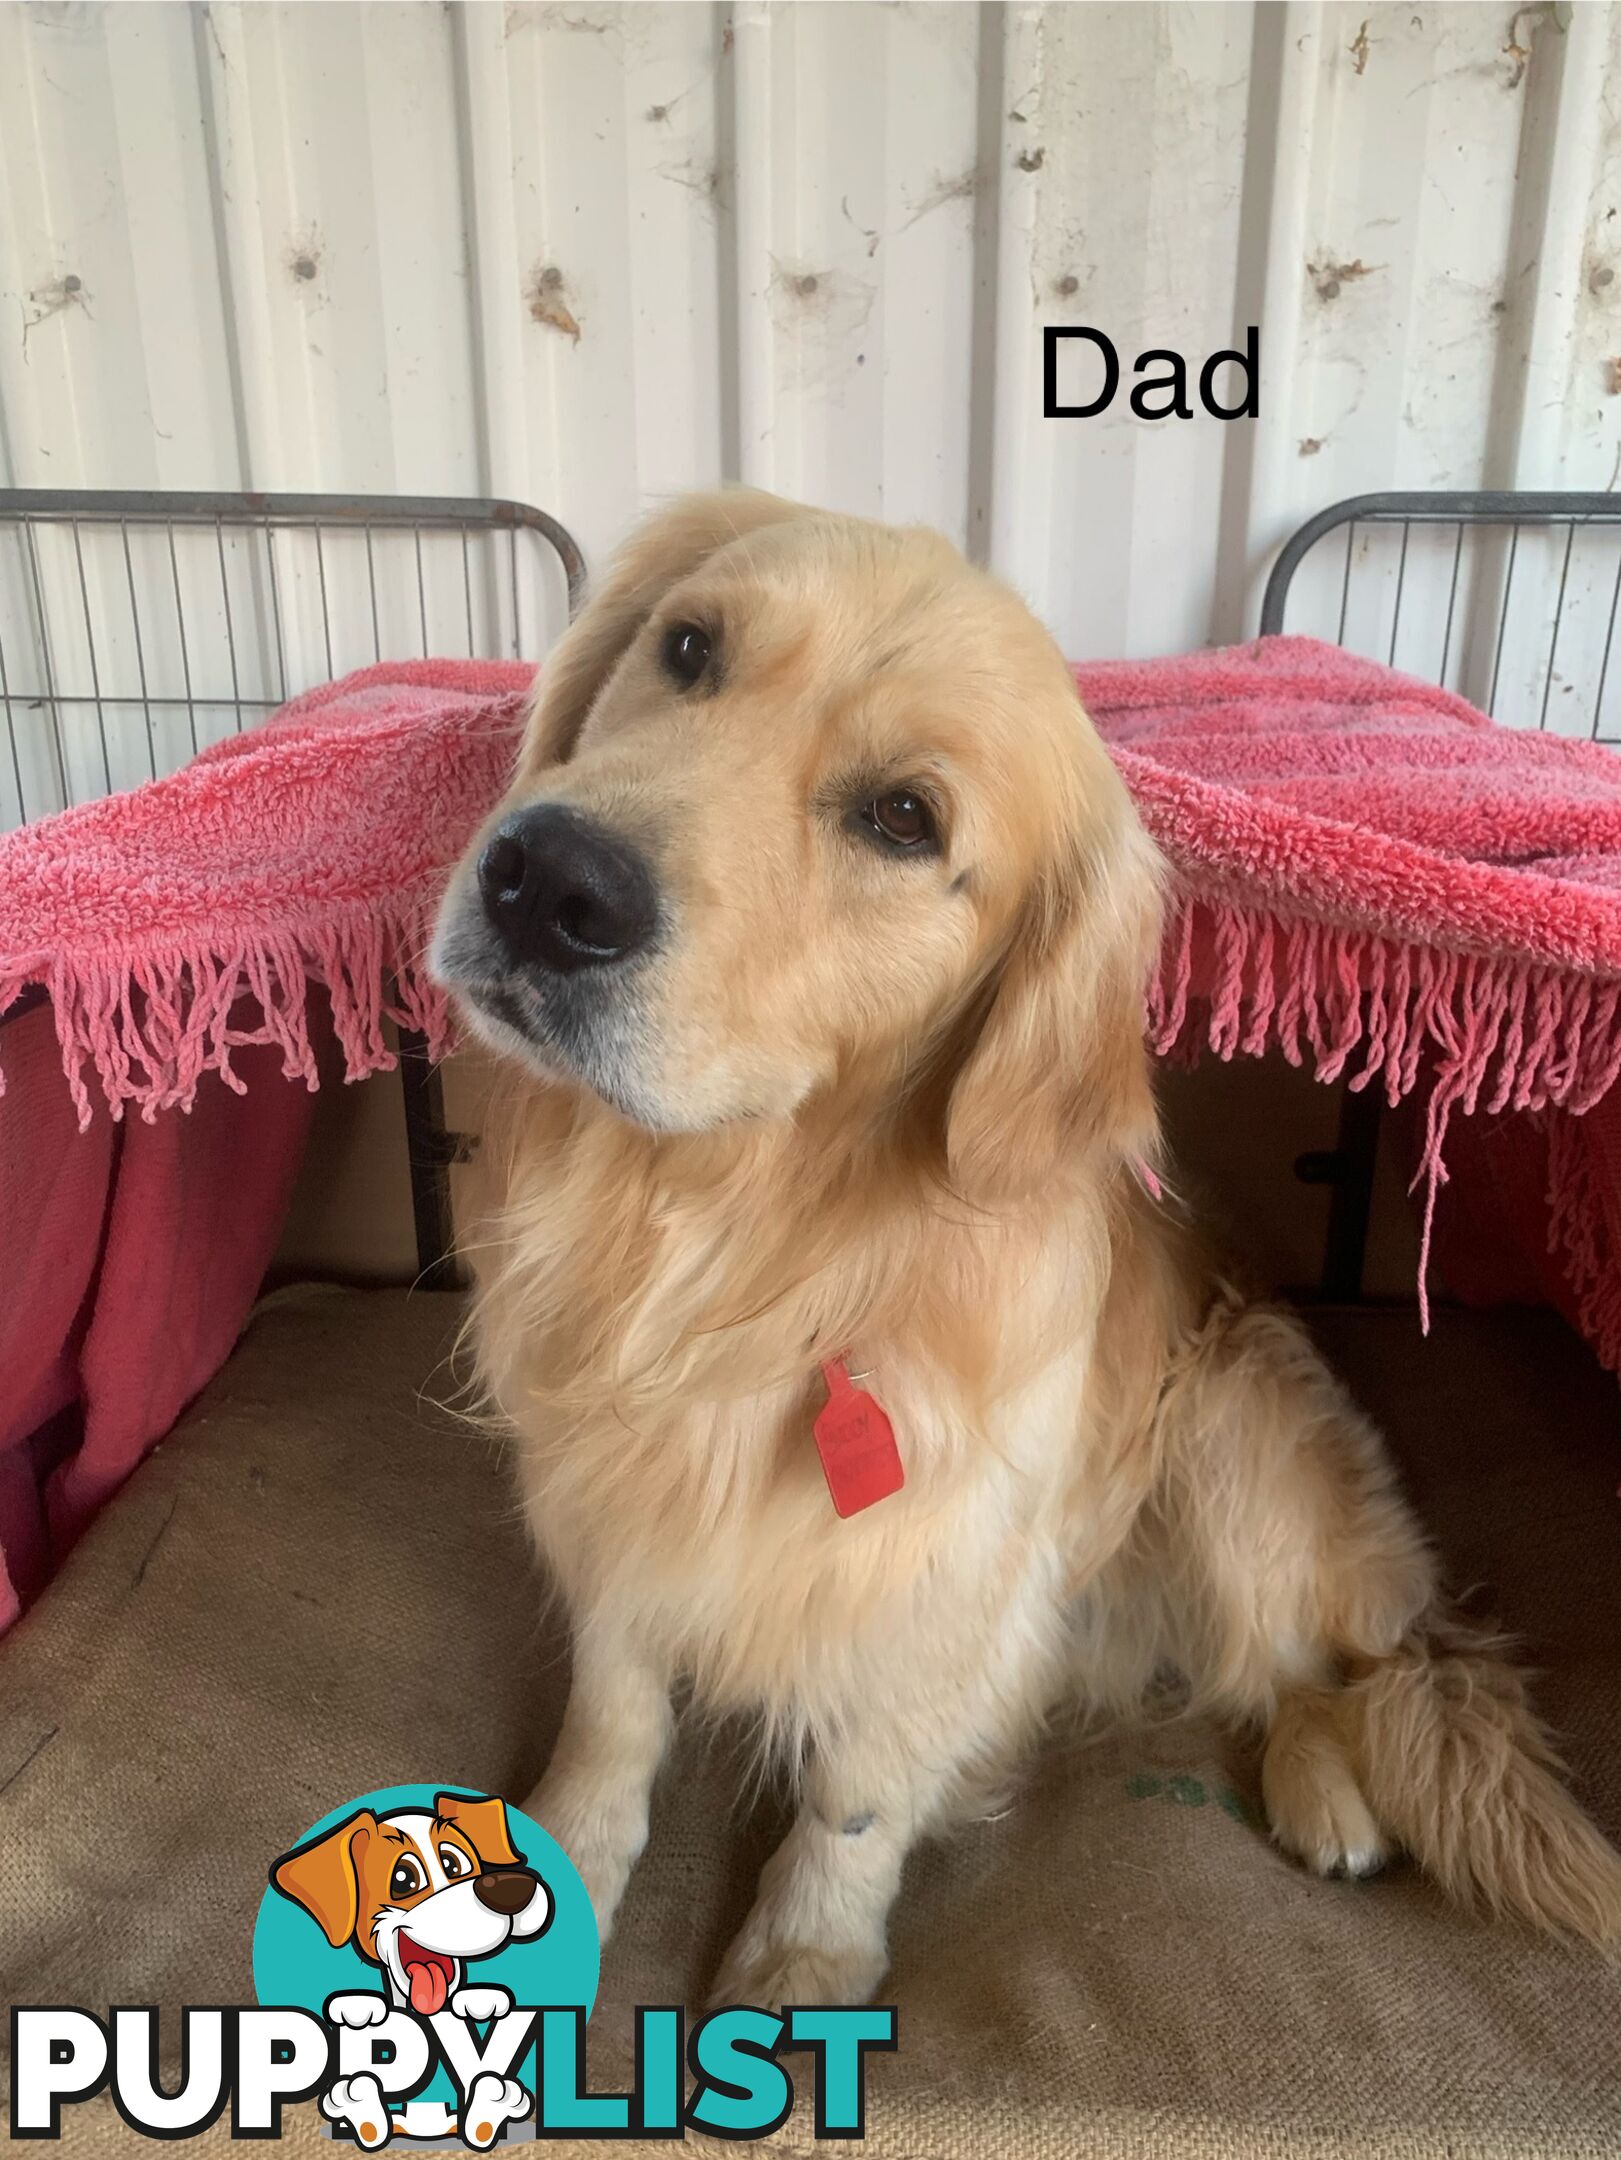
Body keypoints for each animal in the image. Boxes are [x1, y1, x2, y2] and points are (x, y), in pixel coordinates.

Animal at [432, 490, 1621, 2004]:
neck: (729, 1243)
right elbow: (613, 1721)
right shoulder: (609, 1519)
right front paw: (559, 1864)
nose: (544, 882)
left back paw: (1330, 1800)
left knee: (1325, 1675)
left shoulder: (946, 1572)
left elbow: (858, 1793)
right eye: (687, 647)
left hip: (1231, 1427)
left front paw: (805, 1957)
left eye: (902, 818)